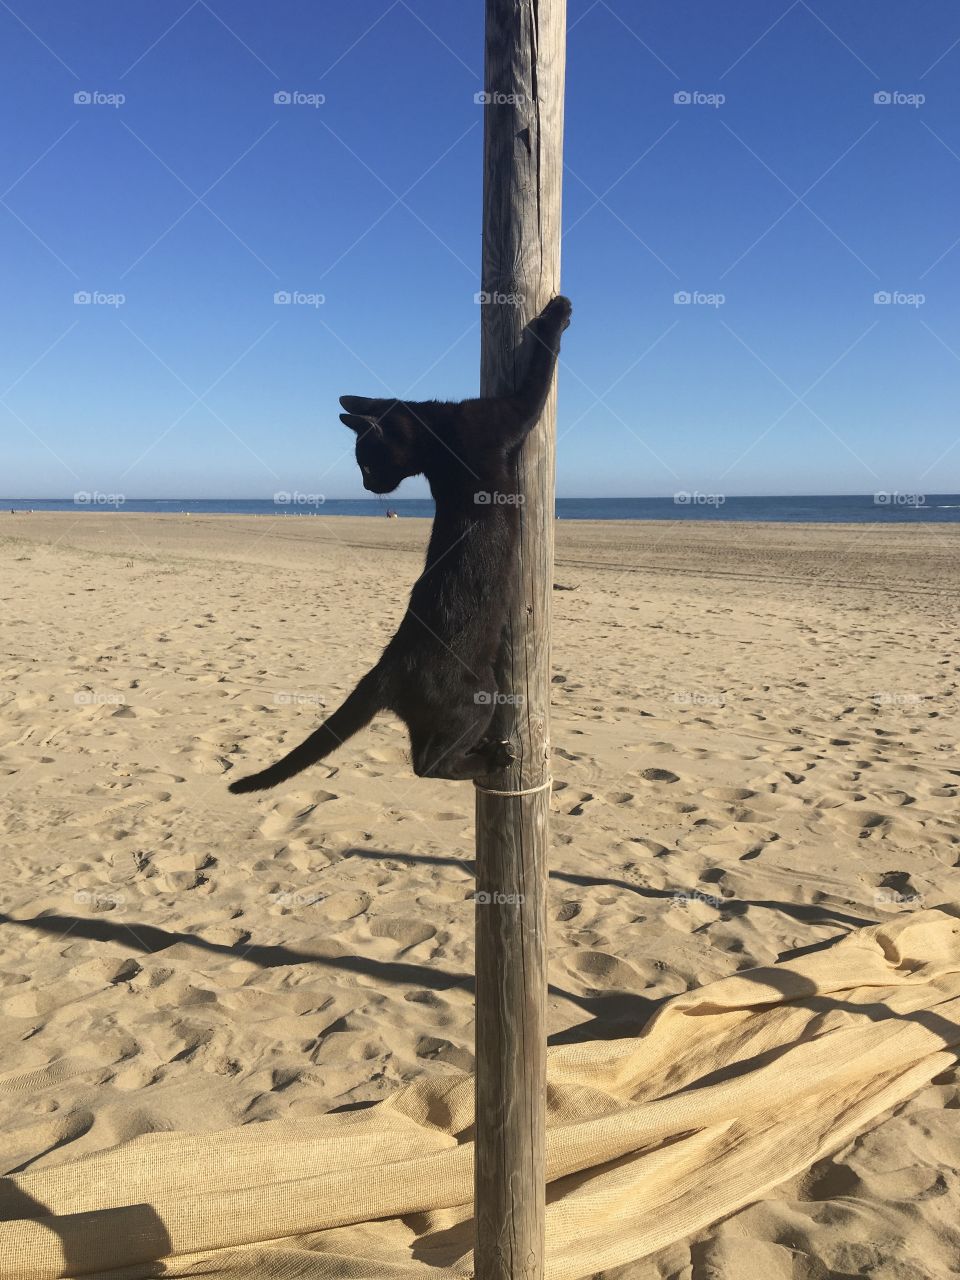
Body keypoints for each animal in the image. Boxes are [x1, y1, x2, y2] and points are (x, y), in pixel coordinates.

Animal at [227, 295, 570, 793]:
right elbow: (540, 367)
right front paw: (558, 314)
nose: (367, 487)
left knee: (422, 757)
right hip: (477, 697)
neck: (438, 436)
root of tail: (388, 666)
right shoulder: (509, 414)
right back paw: (493, 760)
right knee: (428, 764)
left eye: (366, 463)